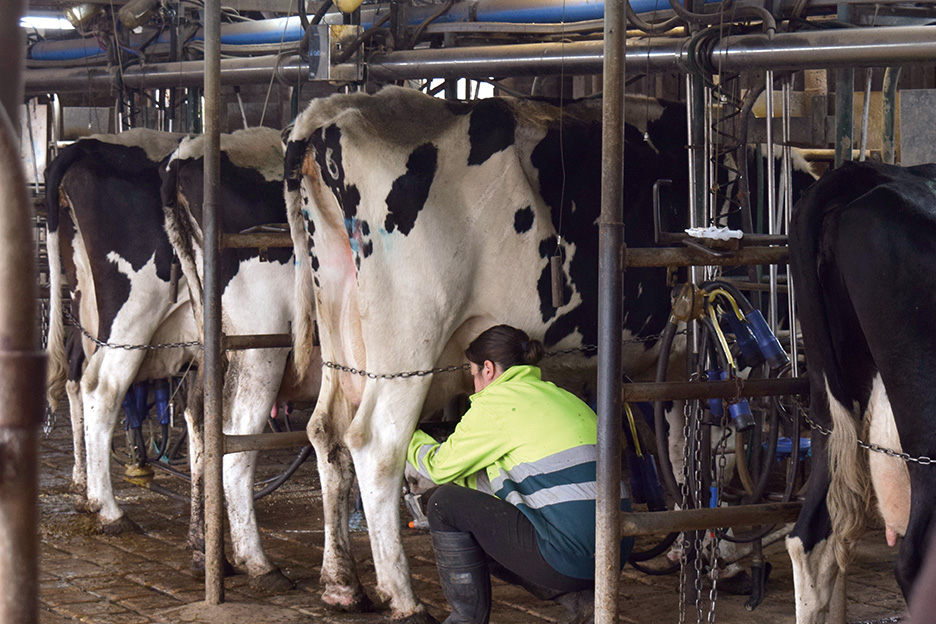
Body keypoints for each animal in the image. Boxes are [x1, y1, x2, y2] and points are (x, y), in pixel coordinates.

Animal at [44, 128, 200, 536]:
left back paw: (83, 486)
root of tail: (87, 146)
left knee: (76, 369)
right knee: (103, 386)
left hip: (88, 304)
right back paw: (109, 510)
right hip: (134, 311)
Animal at [161, 127, 322, 588]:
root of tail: (184, 154)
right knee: (235, 438)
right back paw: (258, 564)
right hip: (259, 348)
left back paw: (207, 552)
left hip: (214, 342)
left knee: (200, 416)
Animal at [284, 86, 696, 620]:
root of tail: (328, 114)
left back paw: (341, 585)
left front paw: (682, 548)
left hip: (339, 327)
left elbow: (677, 445)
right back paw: (404, 599)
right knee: (375, 443)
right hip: (410, 335)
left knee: (326, 432)